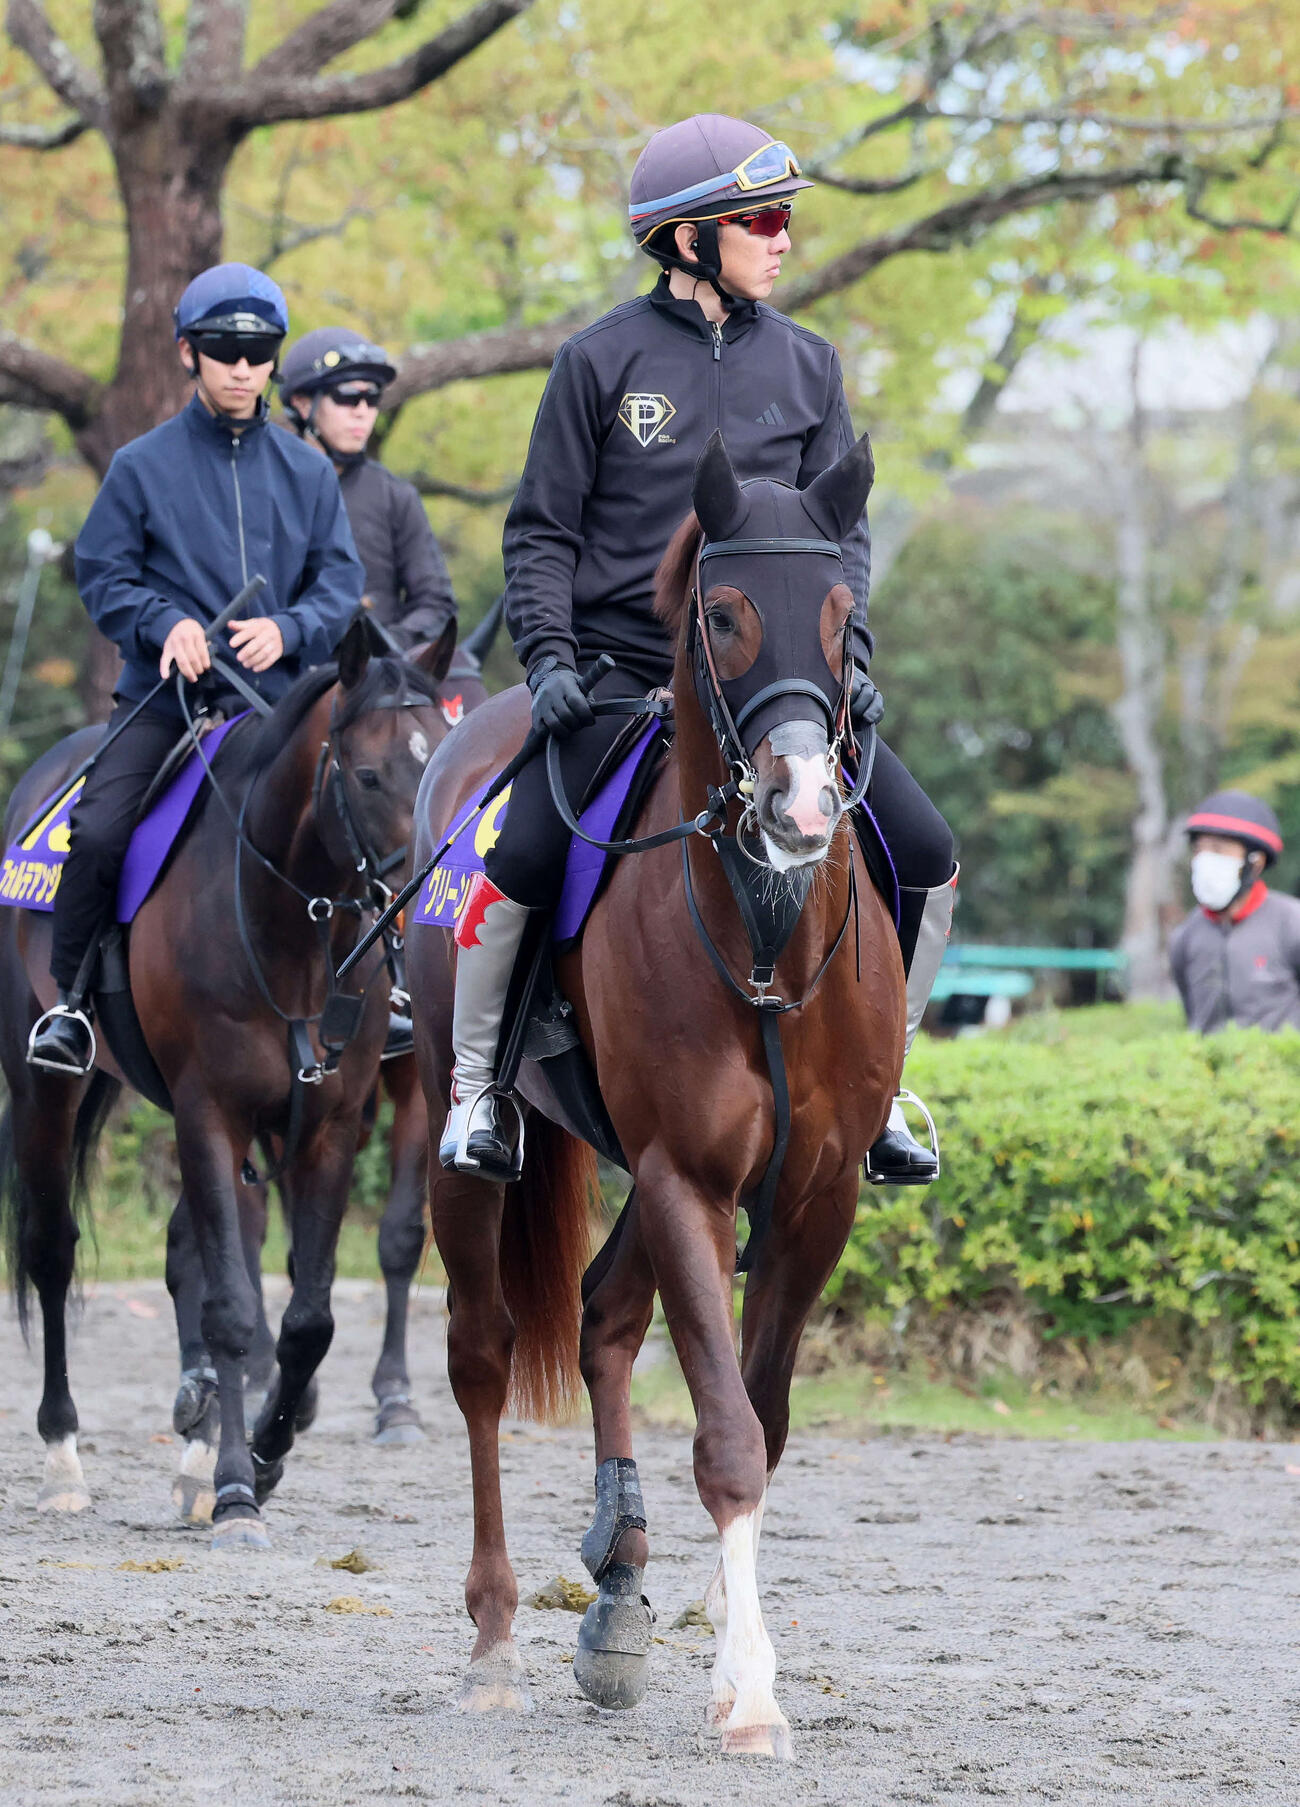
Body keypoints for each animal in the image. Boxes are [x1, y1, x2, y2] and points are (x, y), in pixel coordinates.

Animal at [0, 617, 445, 1548]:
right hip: (44, 1091)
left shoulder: (325, 1123)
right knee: (53, 1253)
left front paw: (264, 1453)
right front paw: (238, 1488)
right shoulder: (210, 1112)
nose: (418, 907)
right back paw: (64, 1457)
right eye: (369, 773)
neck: (289, 931)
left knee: (188, 1253)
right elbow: (236, 1308)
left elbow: (307, 1317)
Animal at [405, 431, 904, 1755]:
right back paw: (497, 1635)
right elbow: (726, 1436)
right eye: (723, 614)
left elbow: (760, 1422)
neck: (767, 931)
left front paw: (720, 1650)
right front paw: (751, 1693)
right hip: (448, 1135)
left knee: (602, 1318)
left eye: (841, 614)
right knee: (483, 1354)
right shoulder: (687, 1178)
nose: (800, 805)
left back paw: (617, 1589)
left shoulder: (811, 1201)